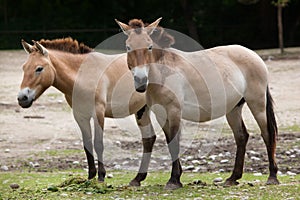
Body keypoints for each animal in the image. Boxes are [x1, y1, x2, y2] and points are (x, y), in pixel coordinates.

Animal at [17, 37, 156, 184]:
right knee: (149, 139)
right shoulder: (80, 116)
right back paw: (138, 179)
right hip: (142, 110)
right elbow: (87, 144)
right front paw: (90, 176)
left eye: (39, 68)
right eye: (24, 67)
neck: (84, 75)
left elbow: (98, 143)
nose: (22, 98)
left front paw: (101, 176)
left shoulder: (98, 113)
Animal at [116, 18, 280, 189]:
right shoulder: (161, 114)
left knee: (267, 133)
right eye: (128, 47)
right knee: (241, 136)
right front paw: (176, 177)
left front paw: (173, 180)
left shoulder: (174, 111)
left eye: (149, 46)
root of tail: (254, 55)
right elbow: (170, 141)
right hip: (233, 109)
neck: (163, 72)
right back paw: (233, 178)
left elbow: (174, 141)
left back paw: (272, 177)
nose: (141, 81)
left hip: (257, 103)